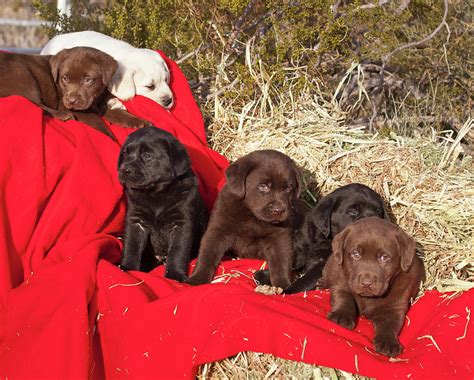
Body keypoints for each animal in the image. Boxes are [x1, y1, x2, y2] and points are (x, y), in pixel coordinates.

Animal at [0, 46, 151, 138]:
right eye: (65, 78)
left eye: (88, 80)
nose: (72, 101)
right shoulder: (70, 107)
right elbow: (98, 123)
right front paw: (111, 138)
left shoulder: (98, 104)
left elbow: (116, 112)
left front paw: (138, 121)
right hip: (20, 73)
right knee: (34, 103)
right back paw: (62, 115)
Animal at [117, 126, 207, 280]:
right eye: (125, 153)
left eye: (147, 156)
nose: (124, 170)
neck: (156, 193)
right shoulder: (136, 220)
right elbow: (131, 246)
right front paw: (127, 268)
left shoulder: (181, 223)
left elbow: (178, 251)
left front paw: (175, 274)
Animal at [254, 183, 390, 292]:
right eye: (353, 211)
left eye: (379, 211)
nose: (374, 223)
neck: (322, 238)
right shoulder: (300, 247)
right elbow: (286, 260)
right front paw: (265, 275)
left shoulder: (322, 265)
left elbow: (305, 280)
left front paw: (287, 291)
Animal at [322, 217, 426, 356]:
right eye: (355, 254)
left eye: (384, 257)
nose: (367, 283)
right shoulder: (340, 284)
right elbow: (344, 298)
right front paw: (341, 316)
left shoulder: (394, 307)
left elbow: (389, 325)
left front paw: (388, 343)